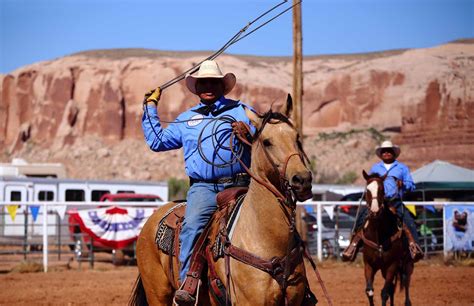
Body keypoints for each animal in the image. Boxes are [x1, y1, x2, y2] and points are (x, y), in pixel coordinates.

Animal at [131, 94, 320, 304]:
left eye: (297, 137)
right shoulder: (250, 302)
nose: (302, 179)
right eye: (267, 142)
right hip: (157, 293)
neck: (269, 240)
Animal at [362, 170, 412, 306]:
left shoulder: (392, 265)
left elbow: (384, 293)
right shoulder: (368, 264)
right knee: (392, 288)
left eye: (382, 189)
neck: (378, 234)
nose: (374, 211)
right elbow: (370, 291)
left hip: (406, 265)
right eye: (367, 190)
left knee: (404, 283)